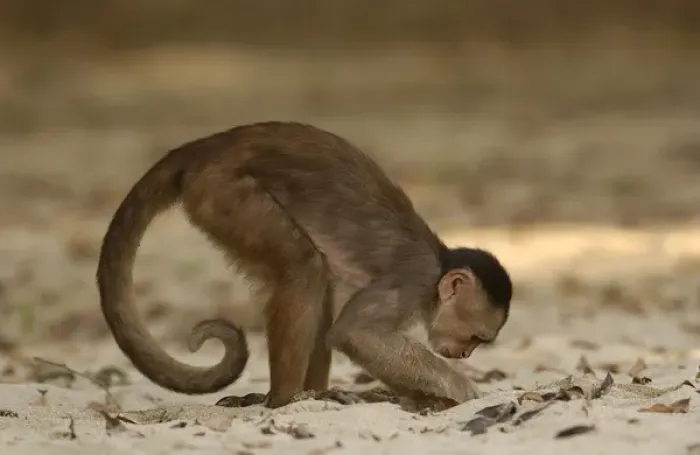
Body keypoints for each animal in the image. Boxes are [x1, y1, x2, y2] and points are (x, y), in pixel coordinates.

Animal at [96, 121, 513, 409]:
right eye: (475, 337)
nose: (464, 355)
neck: (439, 267)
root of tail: (206, 146)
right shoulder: (413, 281)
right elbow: (355, 333)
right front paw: (464, 390)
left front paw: (426, 399)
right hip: (221, 191)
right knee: (304, 267)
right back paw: (285, 399)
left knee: (319, 281)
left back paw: (313, 393)